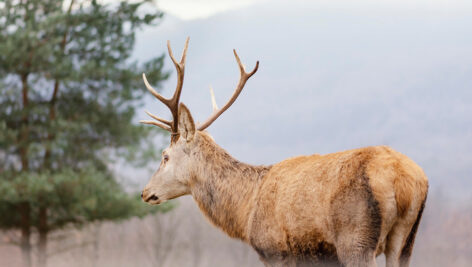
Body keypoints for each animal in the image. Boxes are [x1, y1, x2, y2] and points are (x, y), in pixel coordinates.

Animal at [139, 37, 428, 267]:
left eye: (165, 156)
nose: (145, 192)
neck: (245, 211)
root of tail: (405, 180)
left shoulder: (275, 250)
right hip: (406, 240)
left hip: (356, 238)